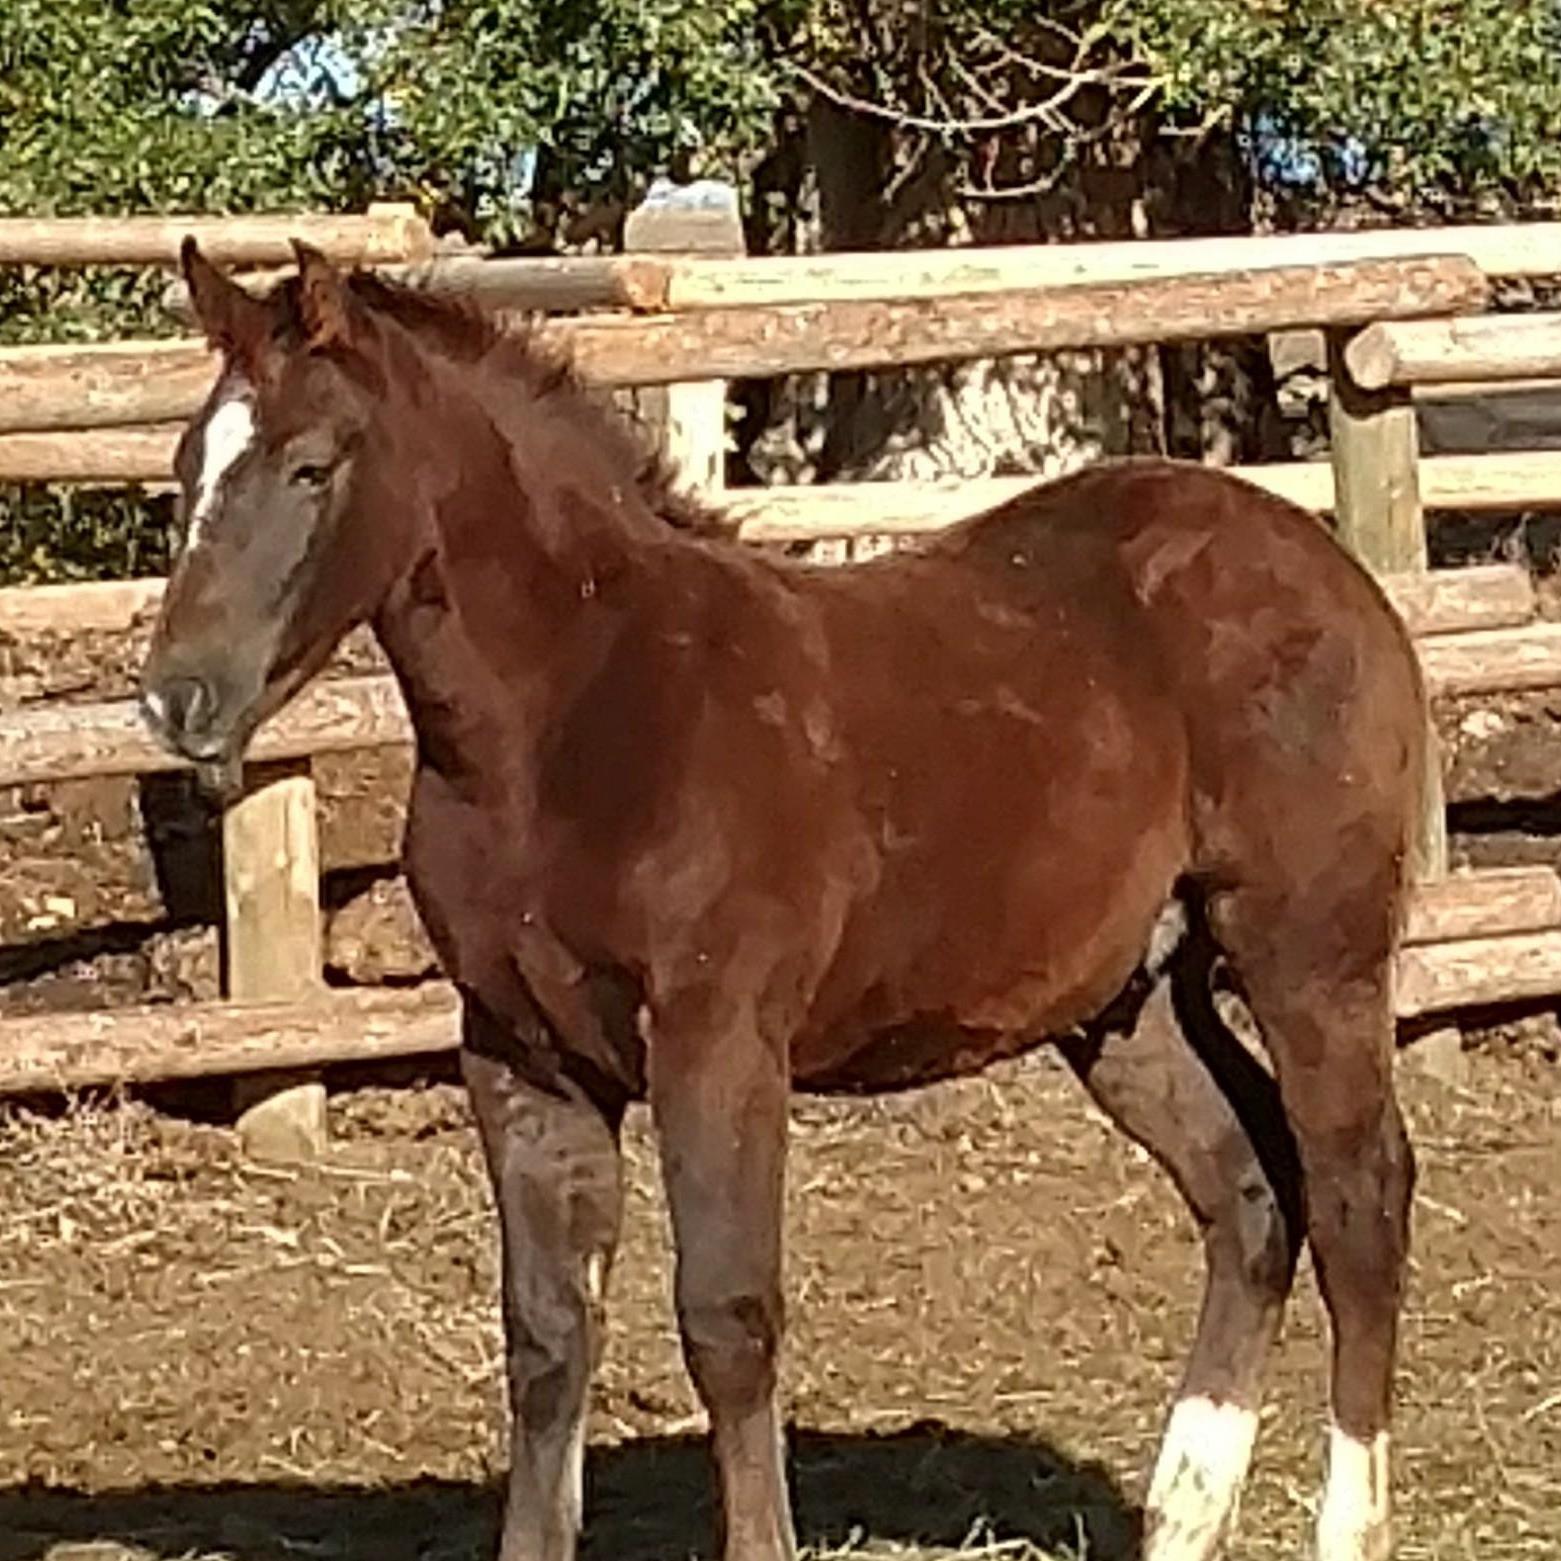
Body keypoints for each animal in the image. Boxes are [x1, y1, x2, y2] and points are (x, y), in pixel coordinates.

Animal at [140, 239, 1424, 1561]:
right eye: (186, 466)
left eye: (311, 464)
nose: (177, 698)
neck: (573, 717)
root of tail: (1329, 566)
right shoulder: (519, 1053)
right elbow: (546, 1337)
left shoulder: (719, 1041)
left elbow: (727, 1318)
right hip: (1125, 1003)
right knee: (1248, 1193)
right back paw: (1181, 1512)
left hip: (1309, 950)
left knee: (1357, 1195)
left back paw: (1350, 1524)